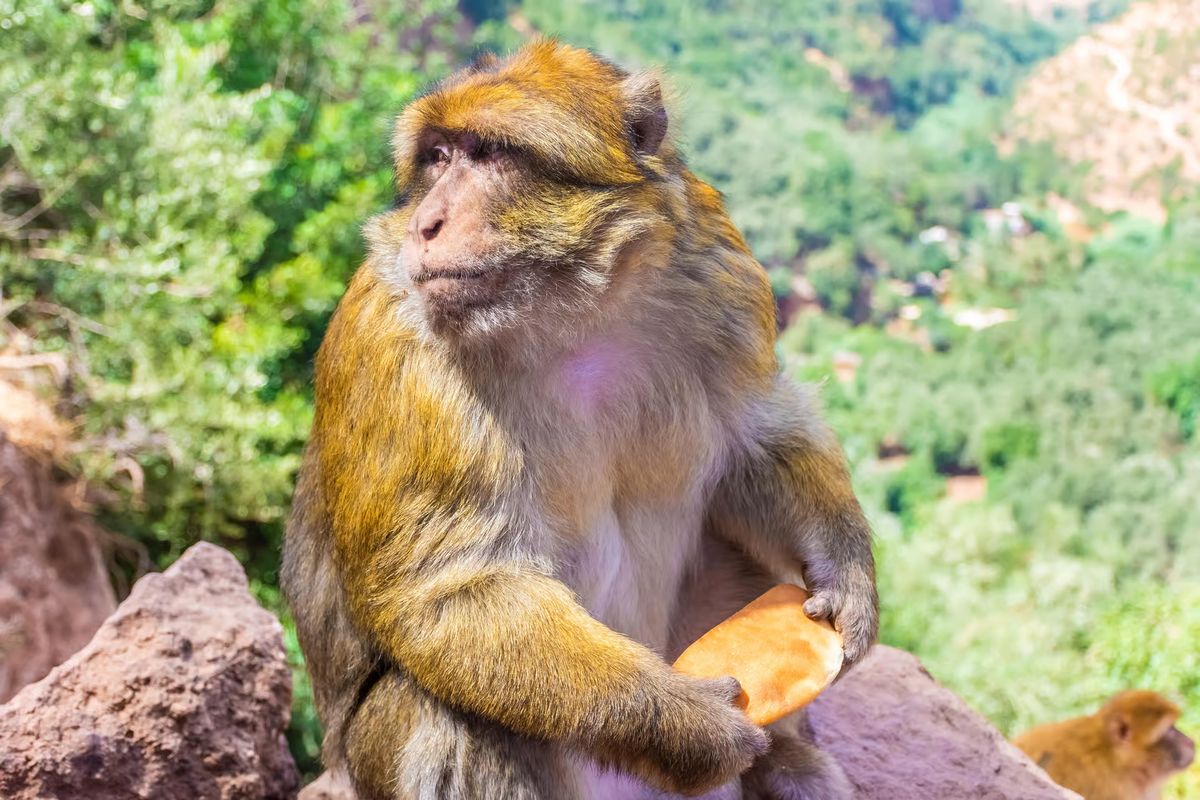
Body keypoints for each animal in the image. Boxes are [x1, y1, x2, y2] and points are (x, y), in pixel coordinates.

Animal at [281, 39, 878, 800]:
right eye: (438, 158)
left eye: (490, 154)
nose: (425, 224)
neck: (569, 311)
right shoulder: (397, 346)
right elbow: (456, 589)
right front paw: (685, 723)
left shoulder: (719, 266)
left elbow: (758, 435)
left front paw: (846, 567)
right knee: (454, 718)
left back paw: (784, 764)